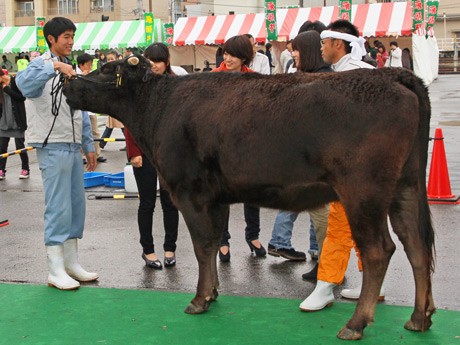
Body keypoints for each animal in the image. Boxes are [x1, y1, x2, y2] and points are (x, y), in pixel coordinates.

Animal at [63, 55, 434, 338]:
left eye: (104, 69)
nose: (66, 83)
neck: (159, 108)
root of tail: (392, 74)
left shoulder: (189, 191)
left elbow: (201, 246)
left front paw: (199, 299)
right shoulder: (215, 198)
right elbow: (214, 243)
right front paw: (213, 292)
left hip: (363, 191)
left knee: (379, 251)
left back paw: (356, 323)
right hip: (406, 186)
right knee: (416, 245)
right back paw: (419, 318)